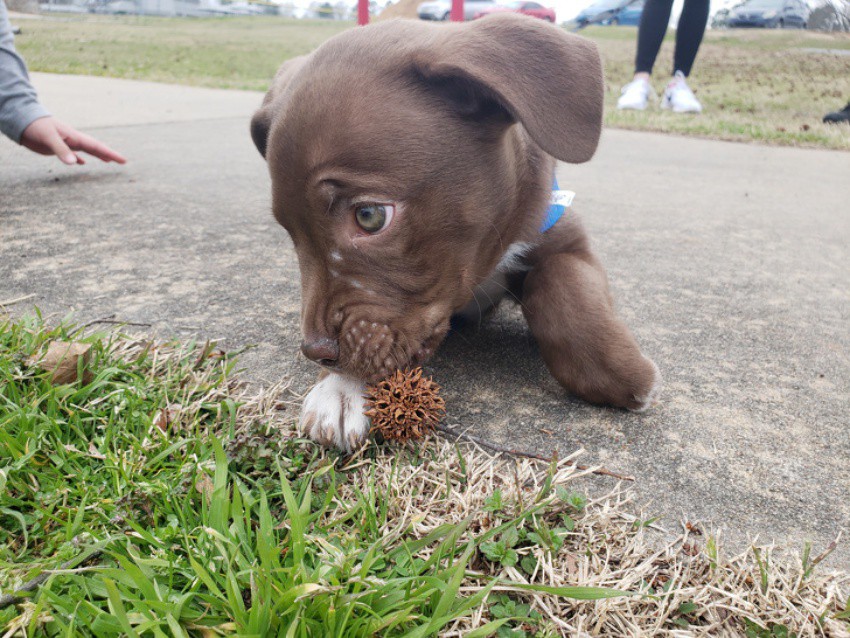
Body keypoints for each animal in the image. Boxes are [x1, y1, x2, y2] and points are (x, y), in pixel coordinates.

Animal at [248, 15, 660, 456]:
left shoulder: (564, 236)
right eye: (291, 233)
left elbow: (563, 288)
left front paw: (619, 374)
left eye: (370, 216)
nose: (317, 353)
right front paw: (340, 390)